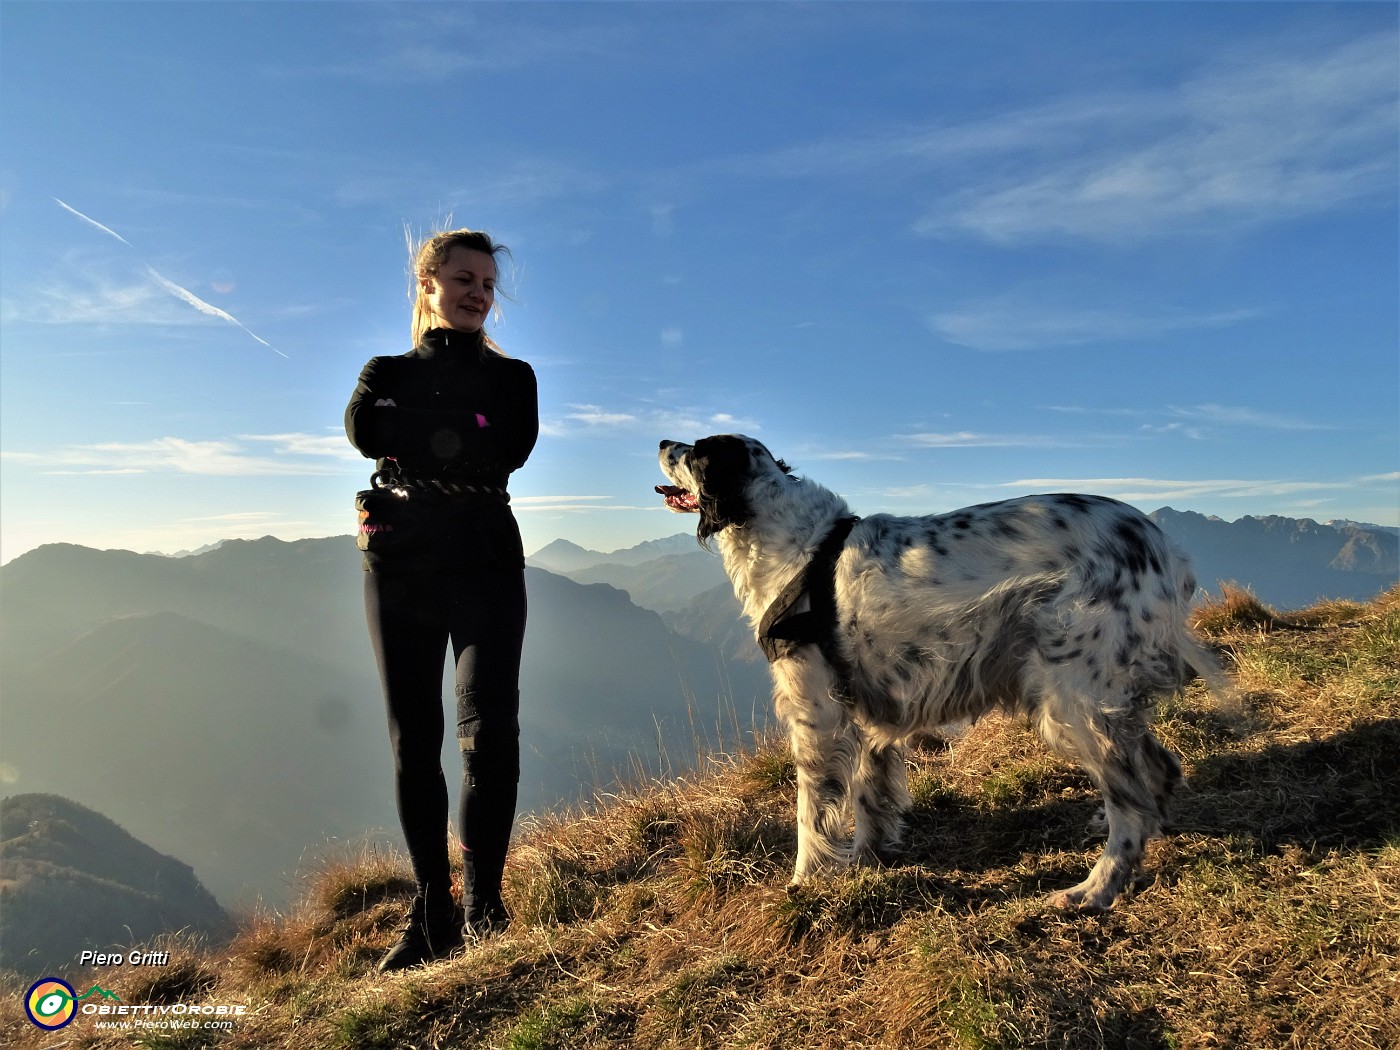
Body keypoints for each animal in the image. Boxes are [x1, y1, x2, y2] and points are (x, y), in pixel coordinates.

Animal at [655, 436, 1226, 912]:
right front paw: (868, 858)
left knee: (1132, 803)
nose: (661, 441)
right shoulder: (863, 709)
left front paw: (804, 881)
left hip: (1073, 699)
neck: (794, 544)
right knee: (1158, 771)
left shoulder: (815, 712)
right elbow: (869, 796)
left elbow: (810, 810)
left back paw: (1095, 887)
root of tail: (1162, 545)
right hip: (1101, 696)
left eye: (695, 451)